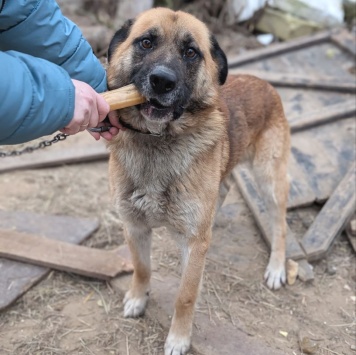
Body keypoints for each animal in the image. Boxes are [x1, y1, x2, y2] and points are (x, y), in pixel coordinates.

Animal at [105, 6, 290, 355]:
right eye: (146, 42)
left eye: (191, 52)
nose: (162, 81)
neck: (157, 142)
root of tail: (264, 83)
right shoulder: (134, 226)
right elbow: (142, 267)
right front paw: (138, 297)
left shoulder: (192, 243)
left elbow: (185, 295)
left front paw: (178, 339)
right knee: (224, 189)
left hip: (269, 181)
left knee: (280, 224)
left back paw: (276, 268)